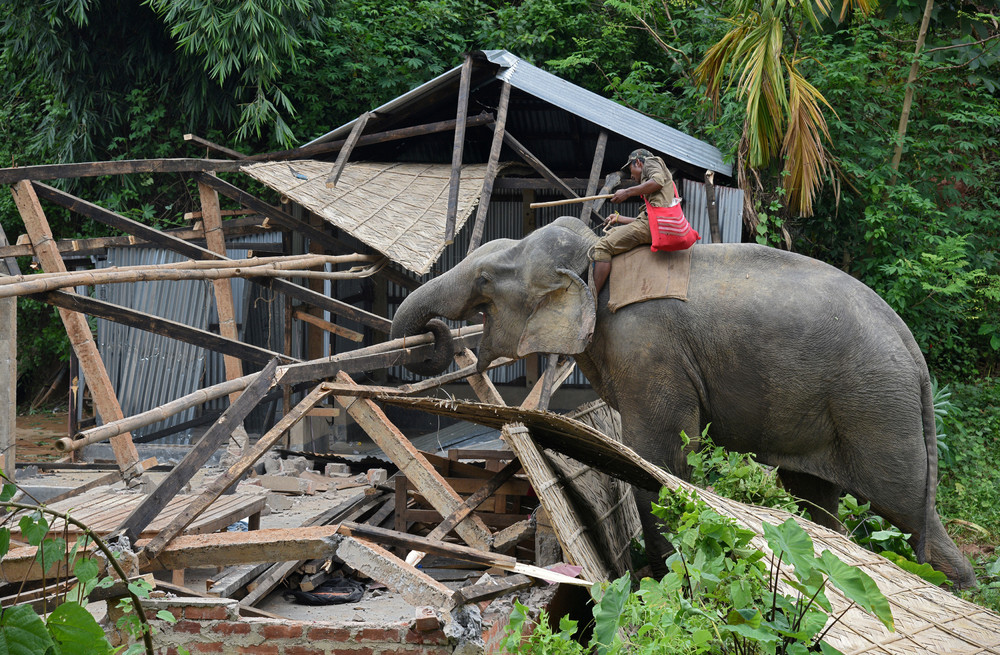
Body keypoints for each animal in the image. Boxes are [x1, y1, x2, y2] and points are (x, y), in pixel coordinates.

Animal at [390, 215, 976, 588]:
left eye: (485, 280)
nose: (432, 334)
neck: (596, 258)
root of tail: (914, 353)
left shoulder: (649, 351)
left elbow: (657, 460)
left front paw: (667, 577)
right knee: (816, 499)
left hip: (875, 406)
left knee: (902, 506)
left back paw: (958, 590)